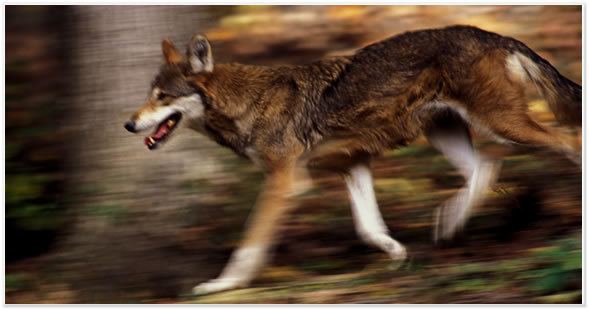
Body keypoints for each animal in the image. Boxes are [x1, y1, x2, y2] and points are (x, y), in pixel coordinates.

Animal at [123, 25, 580, 294]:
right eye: (149, 94)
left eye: (162, 97)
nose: (129, 124)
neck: (249, 103)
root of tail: (492, 34)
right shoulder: (352, 165)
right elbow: (368, 227)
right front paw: (397, 254)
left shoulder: (284, 183)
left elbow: (249, 246)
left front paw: (223, 285)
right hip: (448, 134)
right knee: (486, 170)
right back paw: (448, 224)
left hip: (502, 125)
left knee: (567, 143)